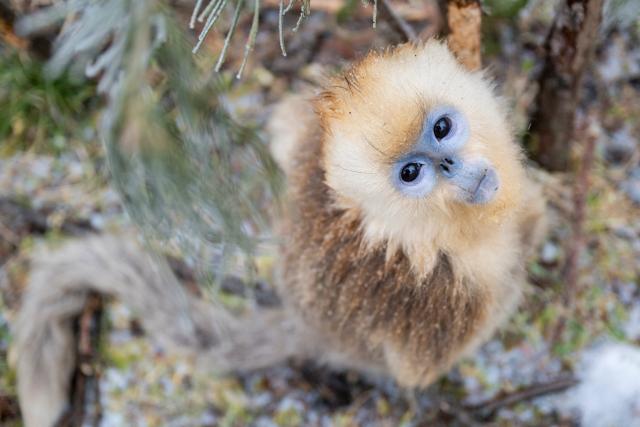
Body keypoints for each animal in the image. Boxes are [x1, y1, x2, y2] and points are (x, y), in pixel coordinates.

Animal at [9, 40, 546, 426]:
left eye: (442, 128)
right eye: (412, 173)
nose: (451, 164)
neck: (418, 227)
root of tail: (308, 327)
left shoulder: (310, 142)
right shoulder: (440, 299)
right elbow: (427, 360)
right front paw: (535, 218)